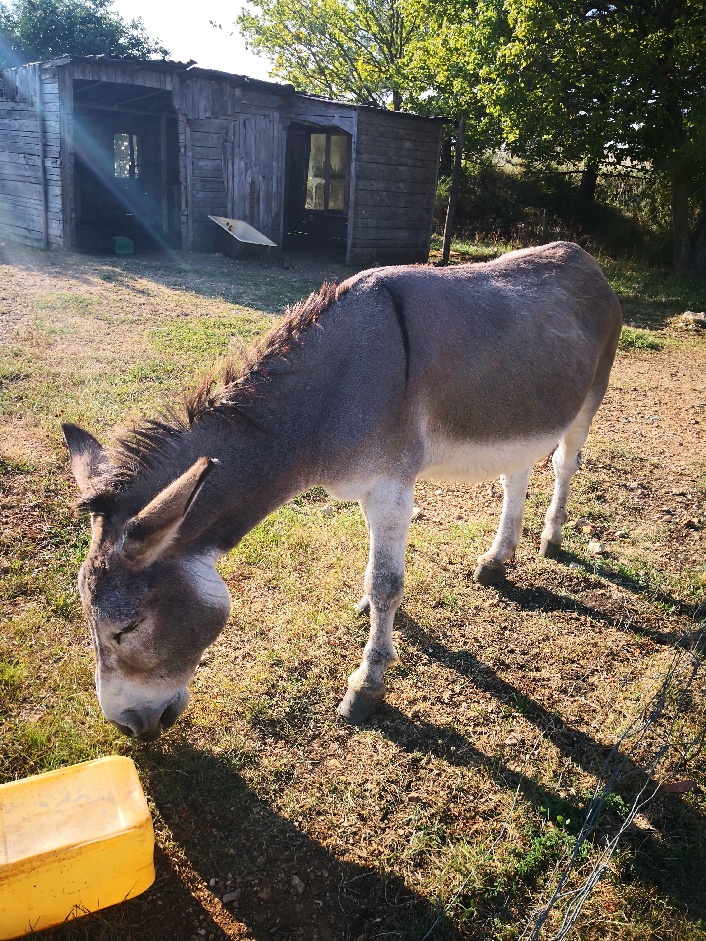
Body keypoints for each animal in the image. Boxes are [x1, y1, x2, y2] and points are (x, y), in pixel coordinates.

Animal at [63, 241, 622, 741]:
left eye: (126, 628)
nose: (127, 726)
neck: (330, 396)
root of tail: (584, 258)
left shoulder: (391, 488)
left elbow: (387, 582)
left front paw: (366, 686)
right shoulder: (368, 491)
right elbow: (375, 572)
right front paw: (367, 609)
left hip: (588, 400)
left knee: (564, 464)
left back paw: (550, 539)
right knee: (516, 475)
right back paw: (498, 558)